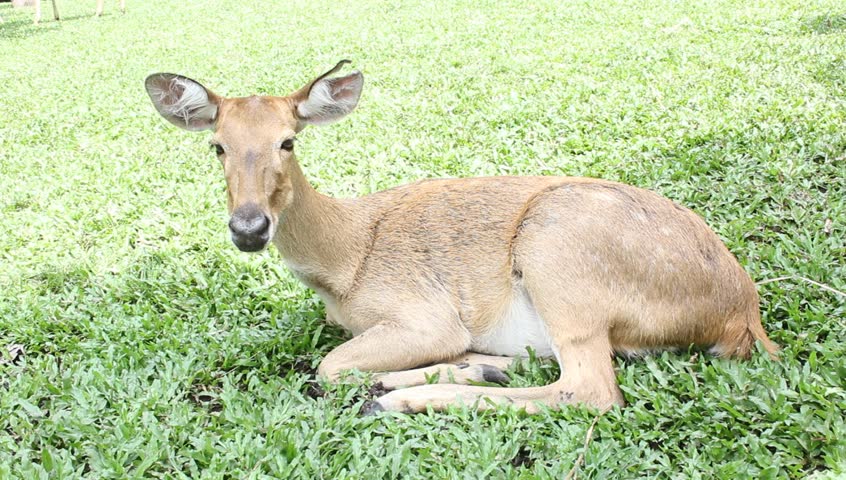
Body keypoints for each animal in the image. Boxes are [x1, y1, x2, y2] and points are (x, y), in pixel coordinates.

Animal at [144, 61, 778, 414]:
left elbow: (328, 366)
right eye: (217, 145)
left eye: (287, 140)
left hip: (559, 257)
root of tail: (743, 315)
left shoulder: (423, 314)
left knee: (591, 390)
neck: (345, 263)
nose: (249, 228)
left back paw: (403, 398)